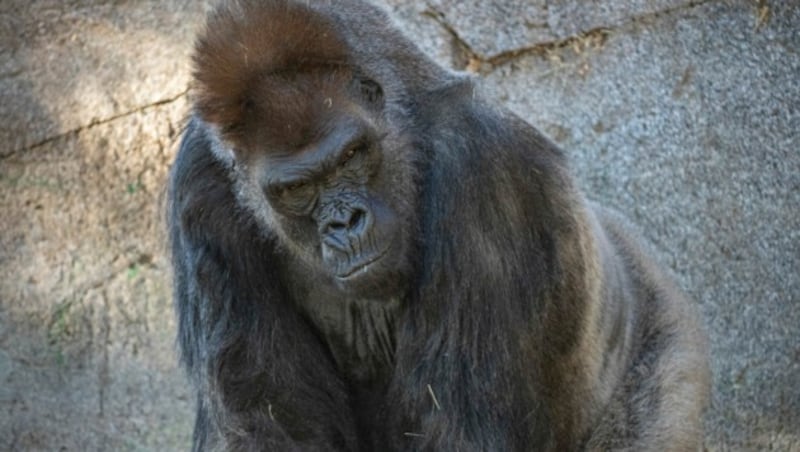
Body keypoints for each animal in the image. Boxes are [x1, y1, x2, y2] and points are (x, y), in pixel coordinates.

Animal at [166, 0, 708, 448]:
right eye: (297, 189)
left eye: (352, 156)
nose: (344, 223)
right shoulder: (200, 184)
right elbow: (265, 421)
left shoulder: (481, 160)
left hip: (666, 350)